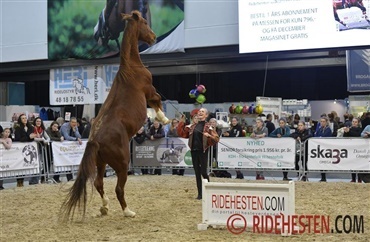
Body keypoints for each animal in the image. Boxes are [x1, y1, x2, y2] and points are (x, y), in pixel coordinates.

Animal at [61, 10, 171, 220]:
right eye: (144, 23)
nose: (153, 37)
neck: (131, 67)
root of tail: (94, 140)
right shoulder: (149, 91)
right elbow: (158, 100)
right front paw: (164, 119)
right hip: (121, 165)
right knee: (118, 189)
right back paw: (128, 211)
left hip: (101, 163)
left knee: (99, 183)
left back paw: (105, 207)